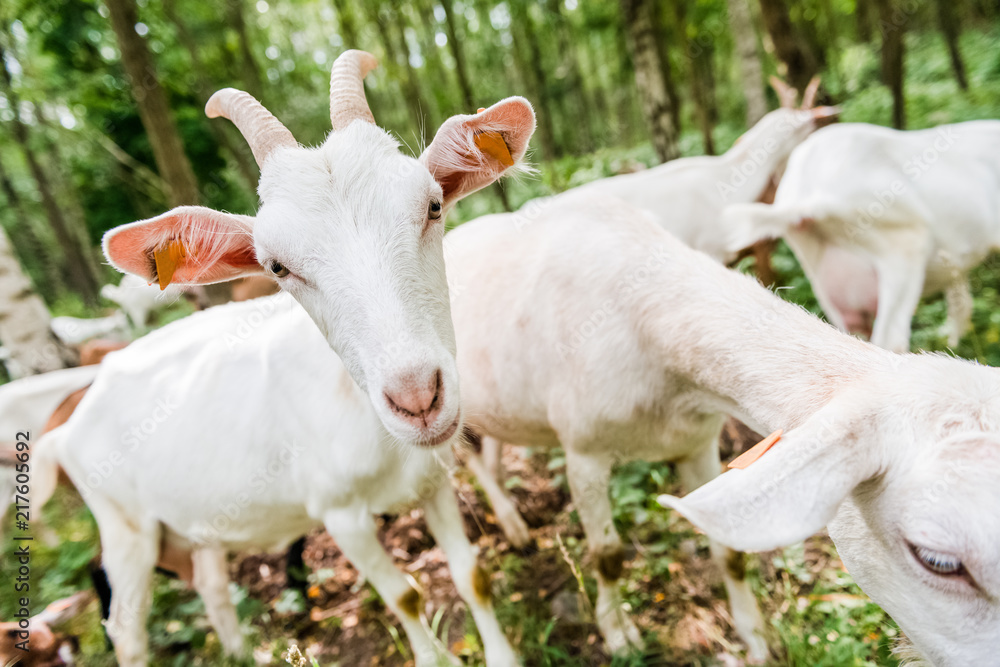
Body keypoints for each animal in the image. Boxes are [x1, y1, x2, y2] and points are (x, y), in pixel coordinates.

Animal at [32, 49, 534, 667]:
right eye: (277, 267)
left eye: (433, 206)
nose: (418, 397)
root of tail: (71, 419)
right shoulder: (341, 516)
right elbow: (405, 597)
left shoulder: (434, 481)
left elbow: (471, 576)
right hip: (124, 528)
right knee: (126, 630)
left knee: (212, 586)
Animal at [445, 190, 1000, 665]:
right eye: (938, 561)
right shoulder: (583, 451)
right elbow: (607, 556)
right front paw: (620, 636)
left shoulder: (698, 443)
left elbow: (729, 553)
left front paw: (756, 639)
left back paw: (514, 526)